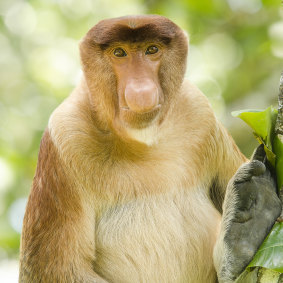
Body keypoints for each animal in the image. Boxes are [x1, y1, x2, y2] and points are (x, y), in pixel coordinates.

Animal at [18, 15, 282, 283]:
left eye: (152, 50)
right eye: (119, 52)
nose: (141, 89)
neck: (141, 141)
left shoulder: (199, 112)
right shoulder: (64, 138)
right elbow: (56, 270)